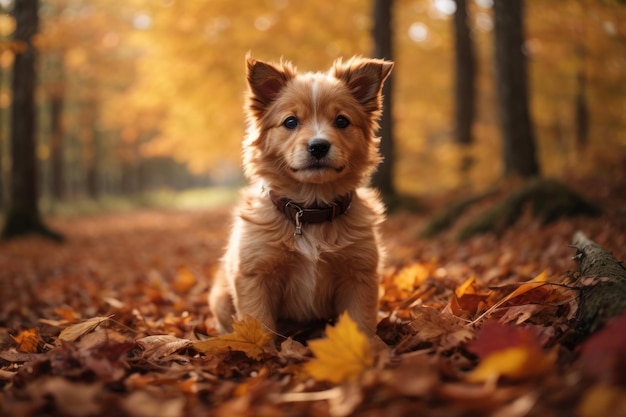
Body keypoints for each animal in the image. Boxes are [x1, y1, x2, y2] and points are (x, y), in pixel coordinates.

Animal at [208, 55, 390, 336]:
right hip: (220, 299)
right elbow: (260, 325)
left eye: (342, 121)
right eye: (290, 122)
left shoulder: (359, 274)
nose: (318, 146)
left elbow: (359, 323)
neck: (310, 210)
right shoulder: (255, 275)